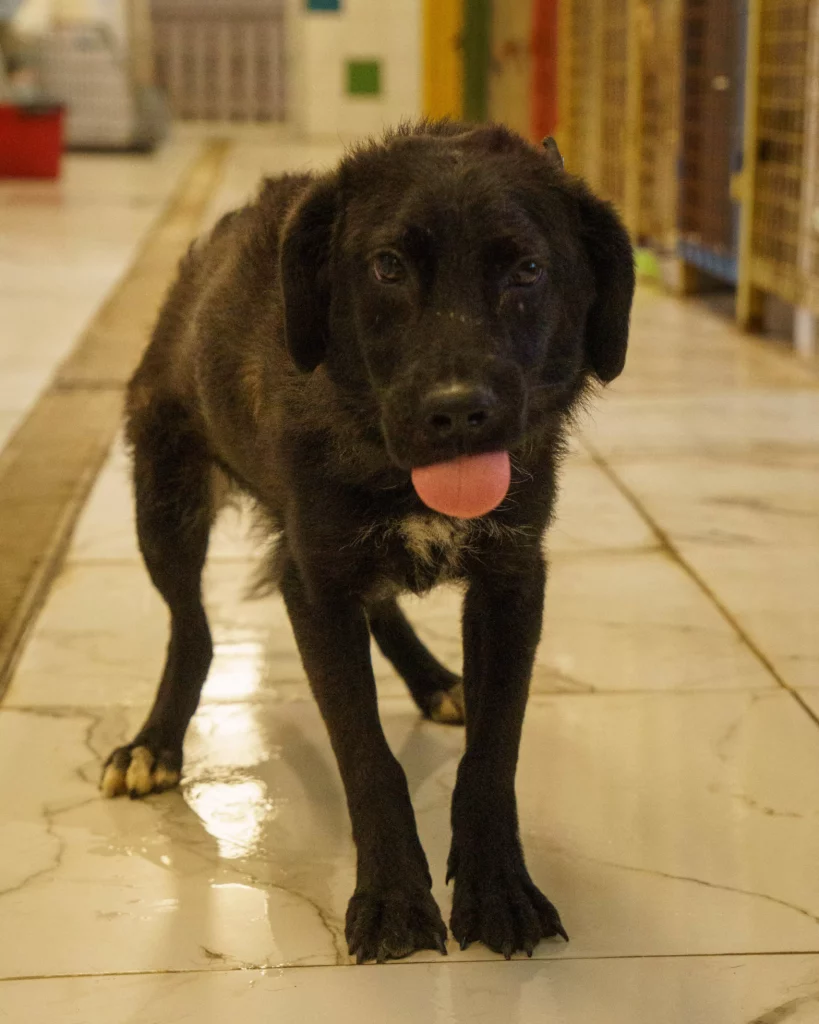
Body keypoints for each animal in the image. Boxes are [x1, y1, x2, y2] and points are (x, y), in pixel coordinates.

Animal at [100, 120, 634, 963]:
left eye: (526, 269)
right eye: (387, 266)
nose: (457, 411)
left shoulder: (512, 579)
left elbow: (495, 750)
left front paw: (498, 888)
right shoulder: (315, 586)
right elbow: (364, 753)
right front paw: (392, 899)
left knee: (379, 605)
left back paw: (434, 679)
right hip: (165, 500)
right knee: (193, 629)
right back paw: (155, 742)